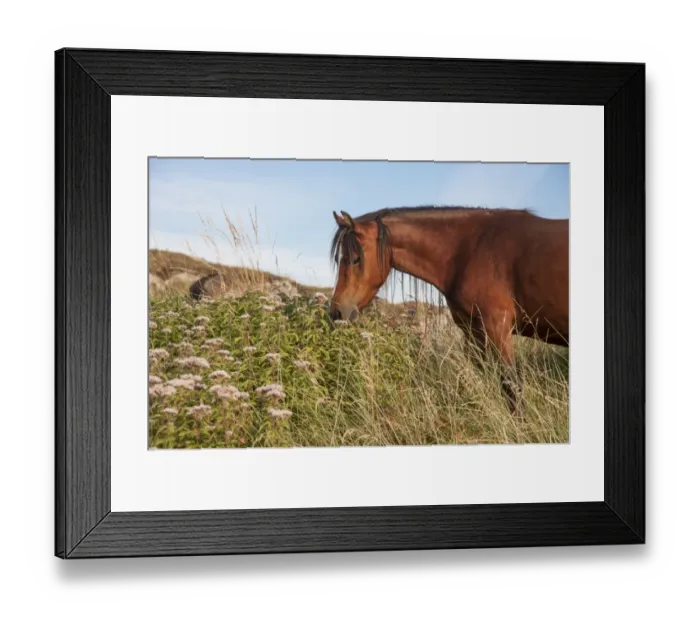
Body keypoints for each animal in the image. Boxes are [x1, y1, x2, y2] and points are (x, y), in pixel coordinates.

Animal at [329, 206, 569, 413]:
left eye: (355, 259)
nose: (336, 312)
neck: (469, 249)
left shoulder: (498, 328)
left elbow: (511, 386)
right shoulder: (474, 333)